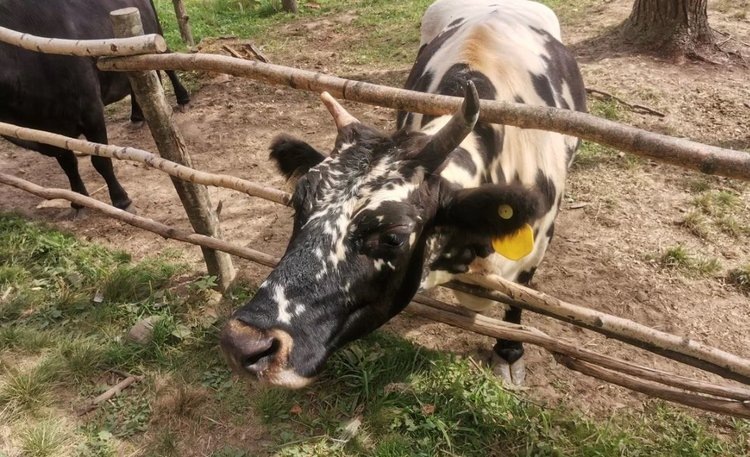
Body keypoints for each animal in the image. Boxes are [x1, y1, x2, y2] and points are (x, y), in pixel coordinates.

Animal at [1, 0, 189, 210]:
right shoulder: (50, 131)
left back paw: (183, 98)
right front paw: (78, 199)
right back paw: (137, 116)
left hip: (153, 34)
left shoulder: (91, 112)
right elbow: (68, 163)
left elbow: (100, 160)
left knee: (167, 60)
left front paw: (121, 199)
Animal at [219, 0, 588, 386]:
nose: (243, 342)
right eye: (297, 204)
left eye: (393, 236)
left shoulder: (534, 252)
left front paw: (510, 352)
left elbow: (520, 302)